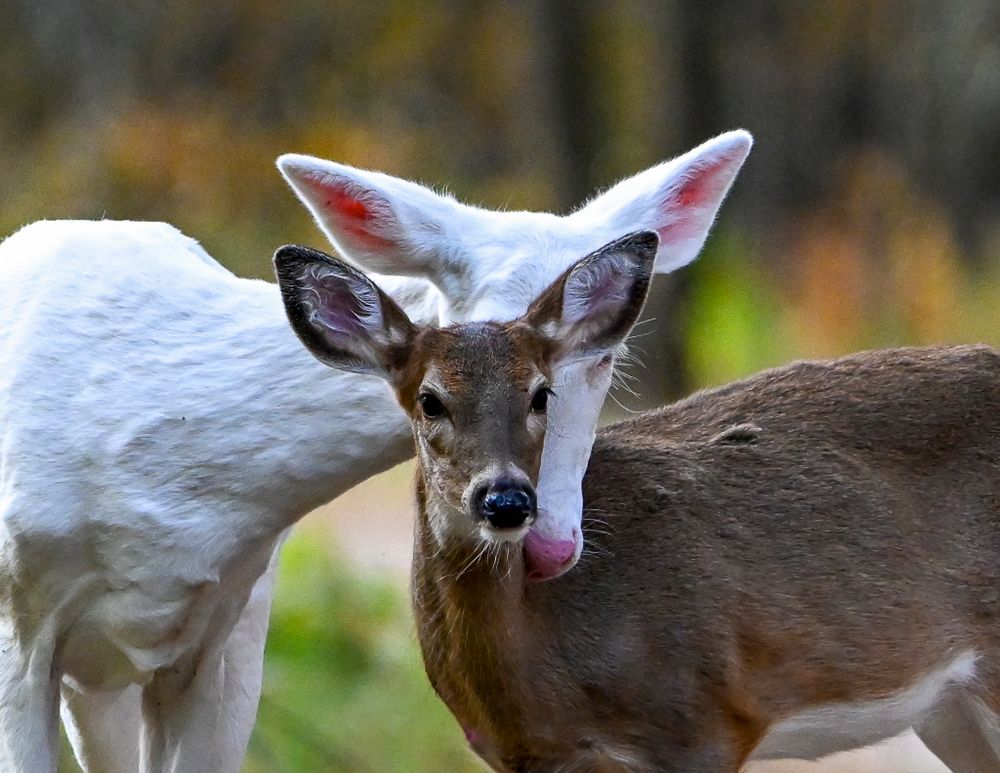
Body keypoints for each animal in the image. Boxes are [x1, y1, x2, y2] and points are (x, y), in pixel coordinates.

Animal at [275, 230, 1000, 773]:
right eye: (430, 399)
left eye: (540, 392)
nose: (506, 500)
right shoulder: (527, 755)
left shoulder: (704, 719)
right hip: (951, 708)